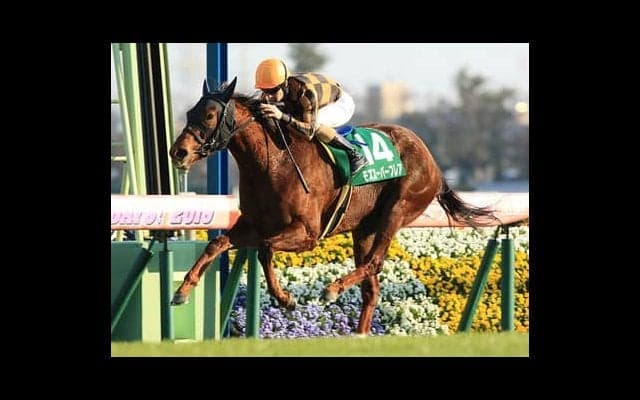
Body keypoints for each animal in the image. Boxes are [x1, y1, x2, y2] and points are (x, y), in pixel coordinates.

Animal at [168, 77, 495, 336]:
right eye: (189, 112)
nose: (178, 152)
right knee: (371, 287)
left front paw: (285, 298)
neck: (273, 163)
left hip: (398, 209)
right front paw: (181, 291)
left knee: (375, 262)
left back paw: (332, 288)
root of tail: (432, 161)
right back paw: (359, 335)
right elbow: (217, 244)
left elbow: (265, 249)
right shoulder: (253, 225)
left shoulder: (307, 233)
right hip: (364, 228)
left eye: (210, 115)